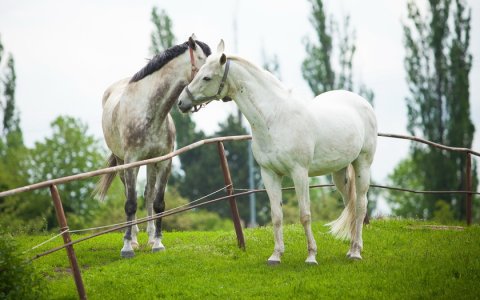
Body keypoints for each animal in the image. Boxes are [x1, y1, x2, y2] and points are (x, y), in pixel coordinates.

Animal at [94, 35, 211, 258]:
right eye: (205, 63)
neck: (149, 112)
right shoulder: (131, 162)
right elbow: (130, 204)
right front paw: (127, 247)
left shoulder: (164, 162)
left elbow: (158, 202)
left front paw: (157, 243)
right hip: (122, 163)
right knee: (128, 194)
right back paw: (134, 238)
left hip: (149, 163)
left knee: (148, 194)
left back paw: (147, 237)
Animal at [178, 40, 376, 264]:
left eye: (206, 77)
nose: (181, 102)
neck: (274, 118)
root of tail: (361, 102)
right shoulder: (269, 174)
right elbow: (276, 215)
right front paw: (275, 255)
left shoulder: (300, 173)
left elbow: (305, 215)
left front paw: (311, 256)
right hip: (339, 172)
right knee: (350, 204)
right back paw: (351, 249)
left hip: (363, 164)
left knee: (360, 205)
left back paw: (357, 252)